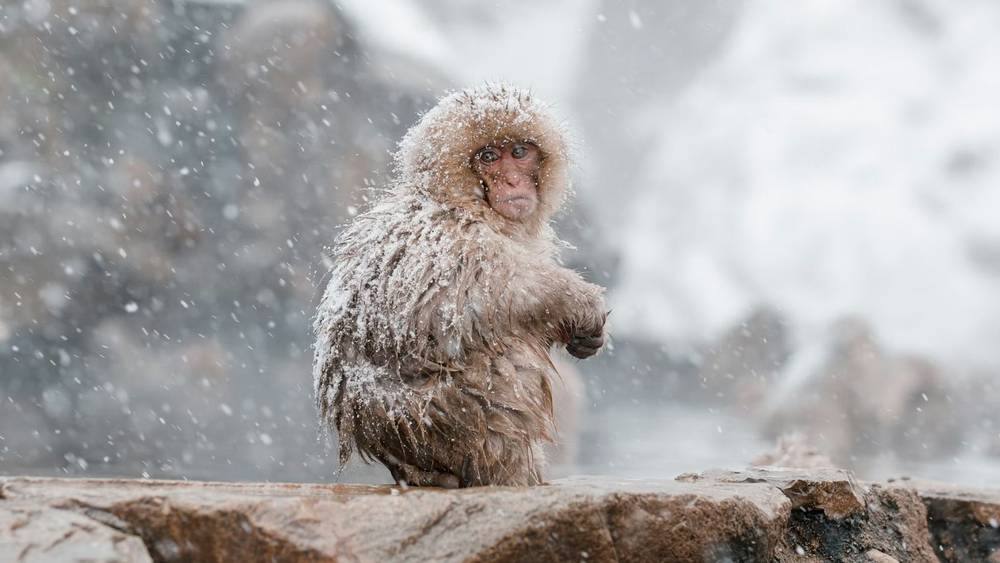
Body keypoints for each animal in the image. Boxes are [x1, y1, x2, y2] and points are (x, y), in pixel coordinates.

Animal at [313, 84, 607, 488]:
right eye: (488, 157)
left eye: (519, 152)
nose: (512, 181)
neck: (462, 201)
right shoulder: (452, 239)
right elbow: (466, 299)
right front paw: (577, 301)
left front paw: (582, 335)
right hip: (446, 418)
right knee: (505, 355)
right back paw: (507, 473)